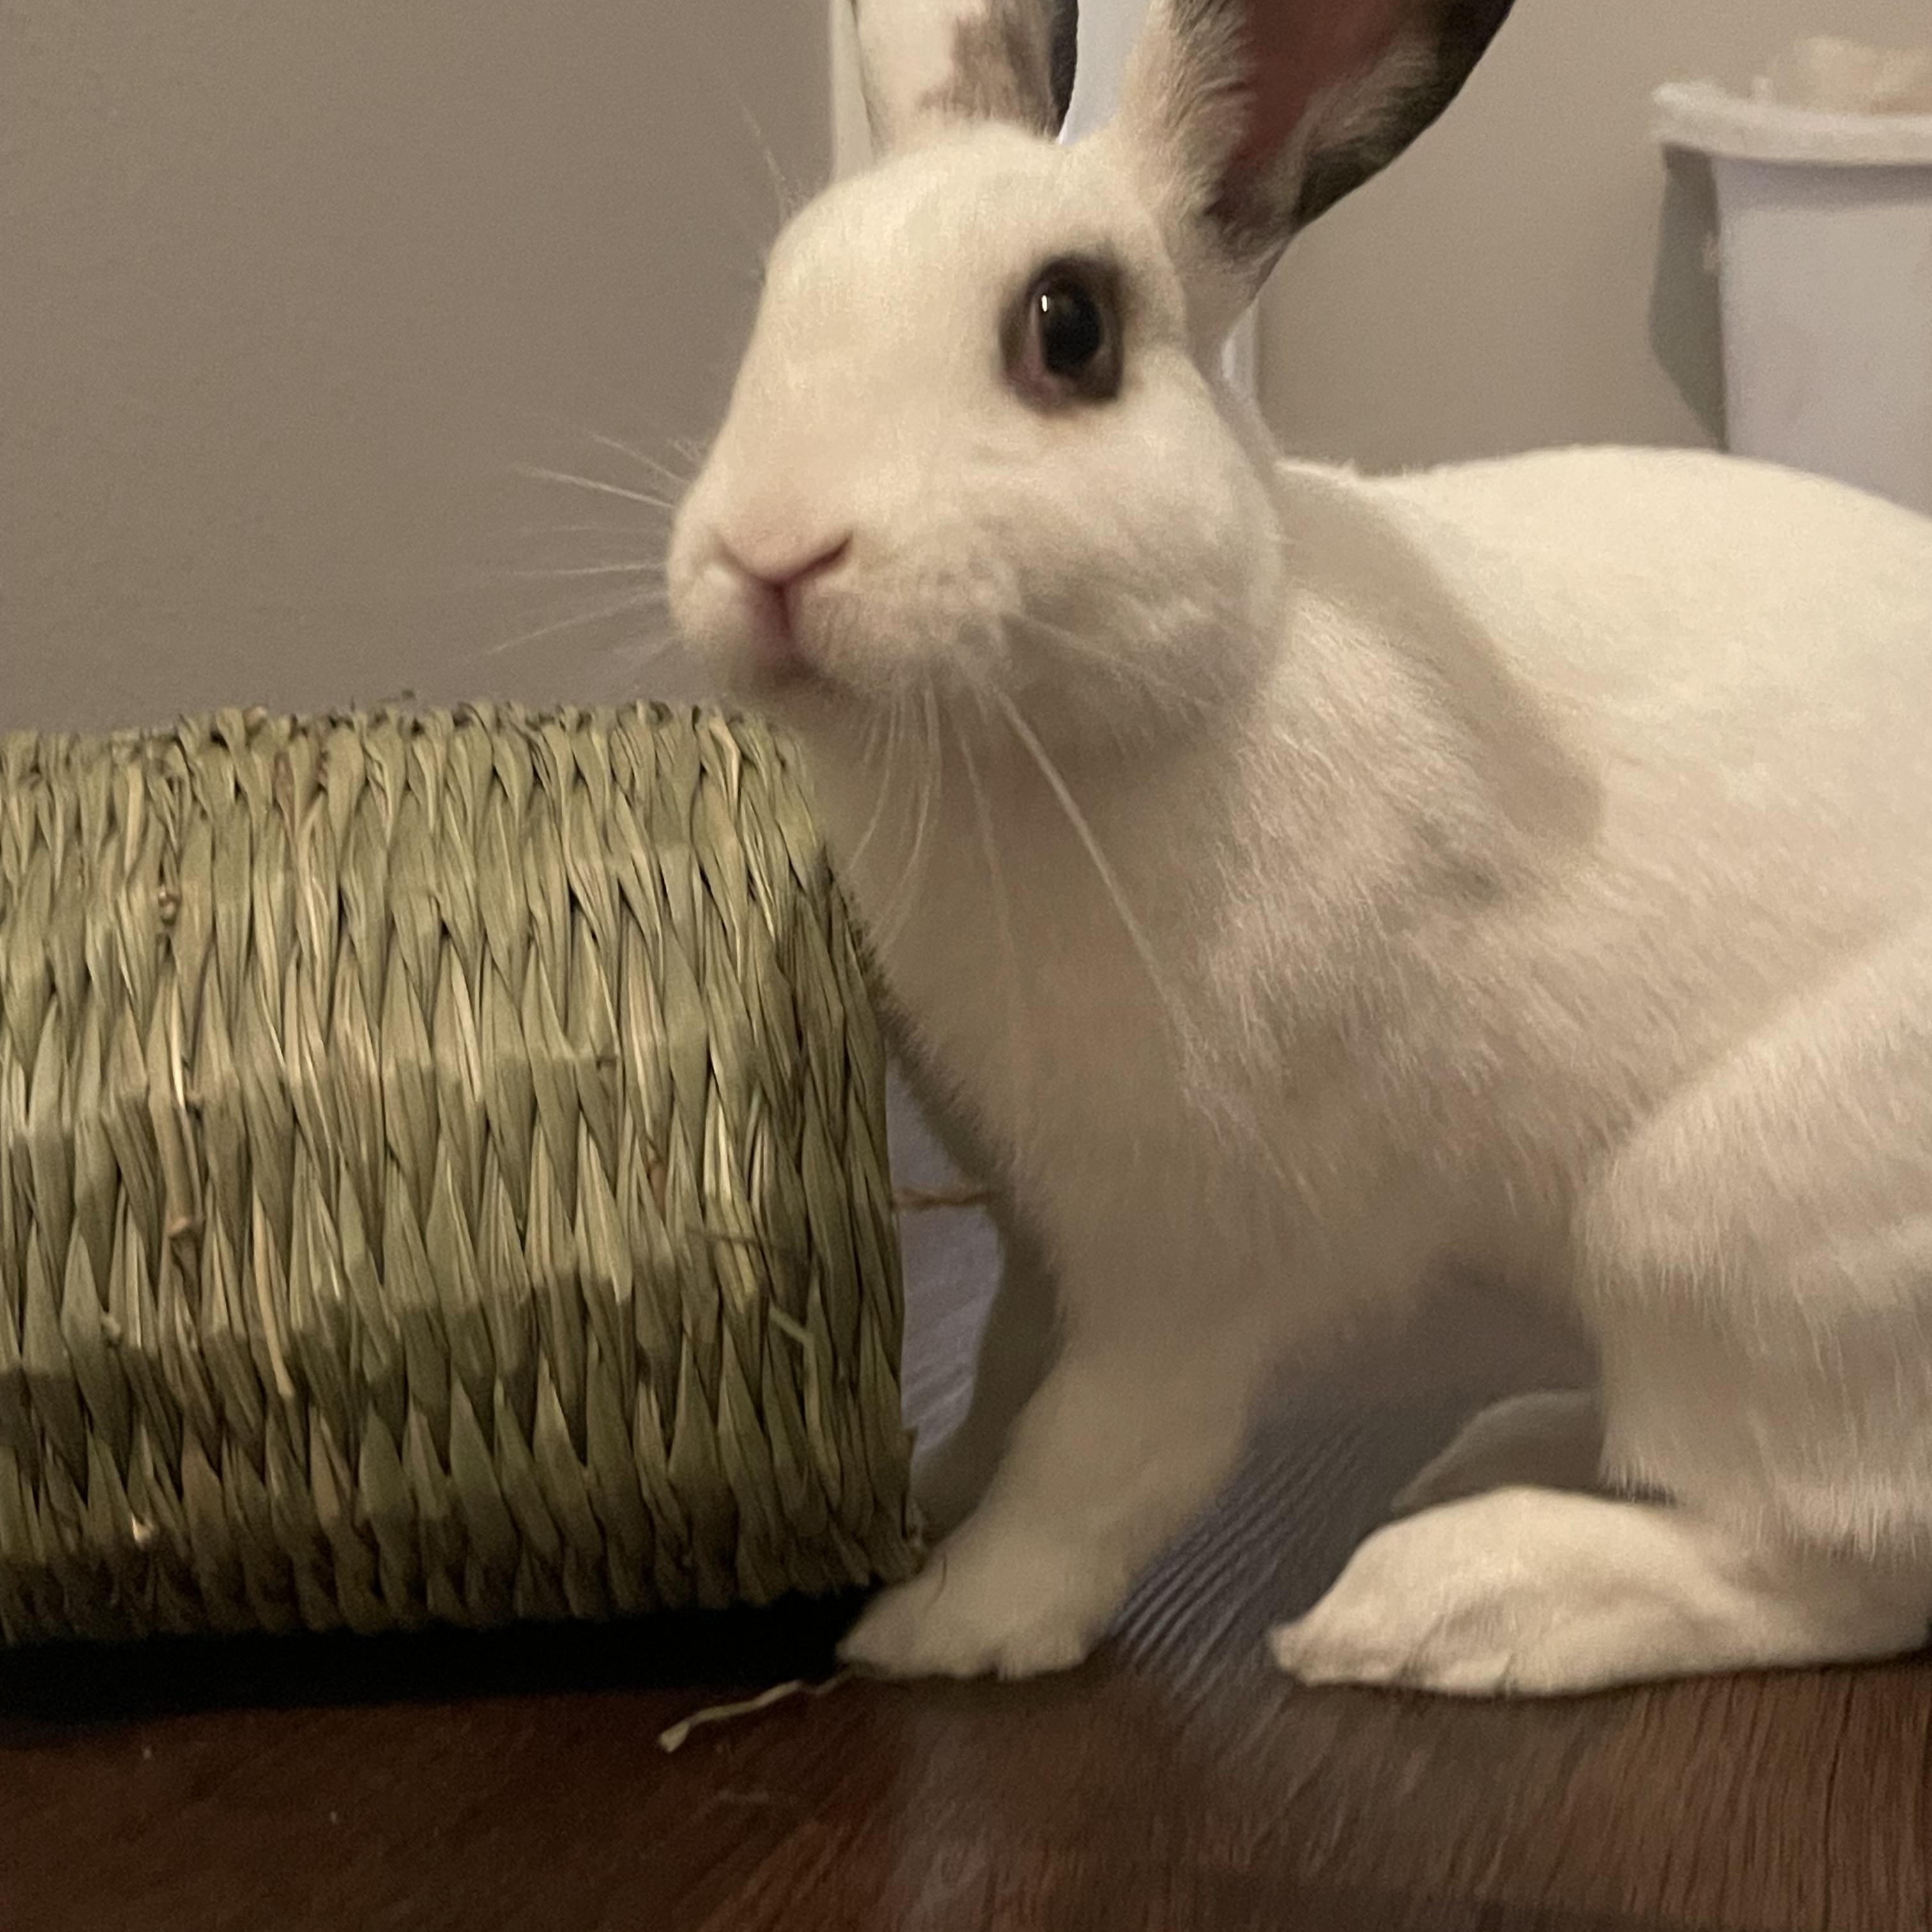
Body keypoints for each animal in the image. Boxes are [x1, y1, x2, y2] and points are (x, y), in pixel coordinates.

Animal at [665, 0, 1932, 1696]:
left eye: (1069, 330)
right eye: (779, 289)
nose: (769, 555)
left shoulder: (1191, 1262)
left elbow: (1099, 1459)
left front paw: (945, 1627)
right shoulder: (1039, 1232)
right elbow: (1003, 1376)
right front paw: (930, 1484)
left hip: (1724, 1242)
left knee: (1843, 1560)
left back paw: (1450, 1601)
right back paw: (1507, 1450)